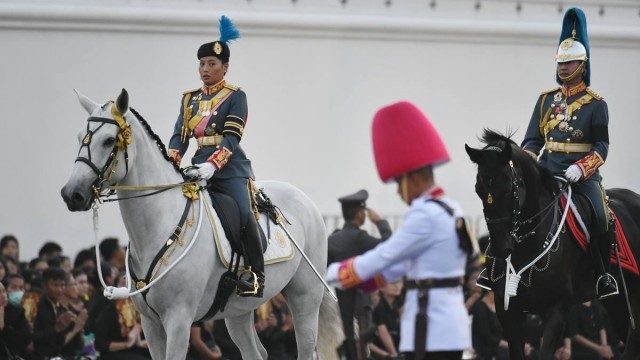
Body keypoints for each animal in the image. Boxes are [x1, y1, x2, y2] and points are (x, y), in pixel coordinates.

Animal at [60, 88, 340, 358]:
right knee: (255, 352)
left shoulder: (178, 320)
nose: (71, 194)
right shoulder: (151, 324)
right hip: (238, 311)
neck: (160, 224)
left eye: (109, 140)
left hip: (305, 296)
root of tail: (304, 199)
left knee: (306, 346)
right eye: (79, 137)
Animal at [464, 130, 640, 360]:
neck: (527, 246)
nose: (500, 249)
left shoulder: (556, 310)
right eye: (478, 189)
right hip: (617, 302)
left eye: (510, 187)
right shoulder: (507, 311)